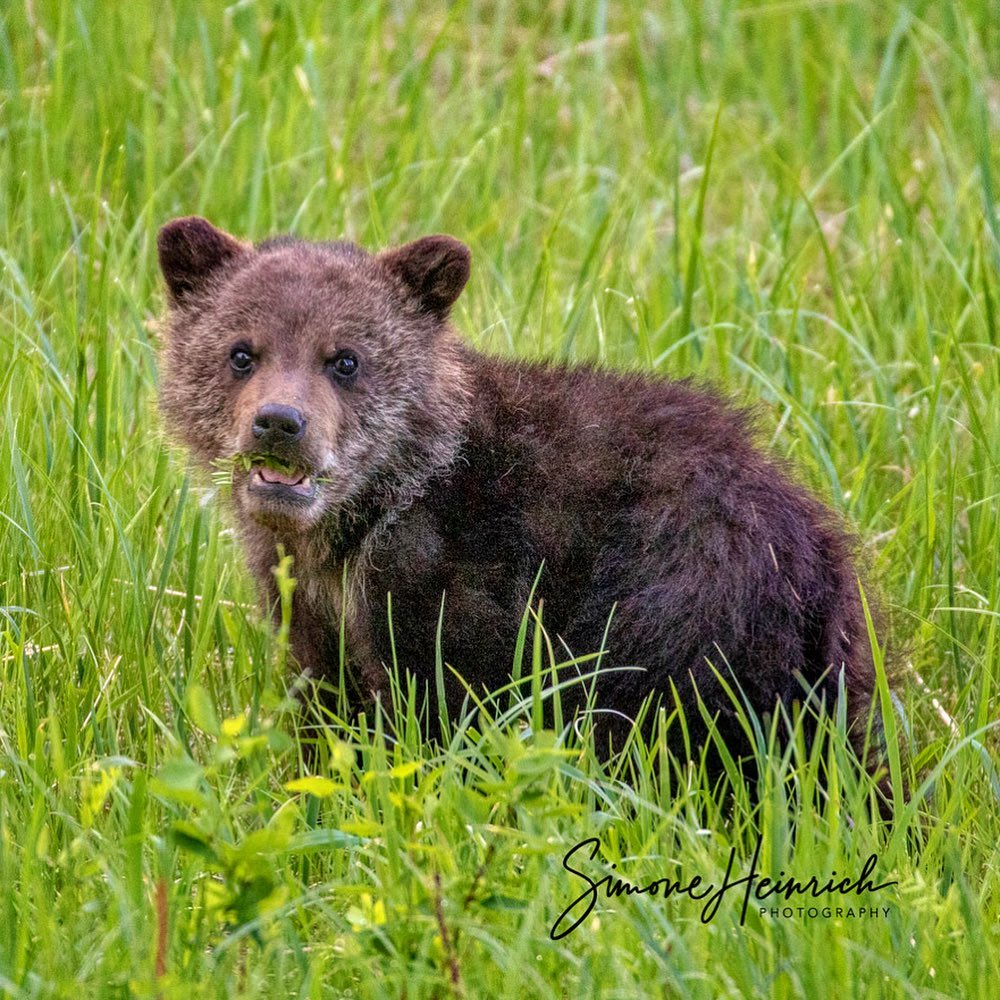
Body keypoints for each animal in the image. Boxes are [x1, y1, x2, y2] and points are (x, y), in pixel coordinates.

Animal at [154, 217, 876, 764]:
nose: (280, 423)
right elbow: (329, 710)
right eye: (241, 352)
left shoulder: (460, 581)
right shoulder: (307, 602)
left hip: (685, 600)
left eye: (346, 359)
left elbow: (447, 707)